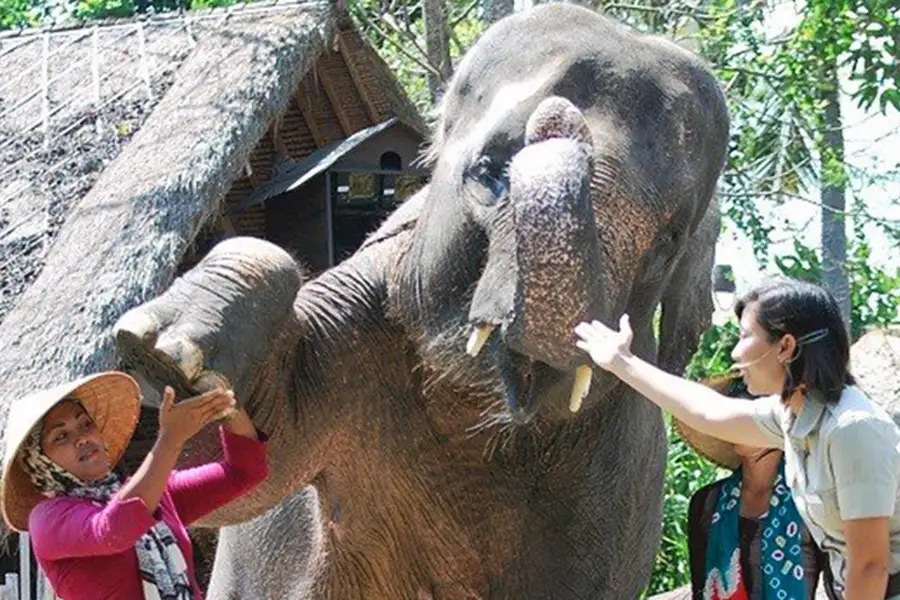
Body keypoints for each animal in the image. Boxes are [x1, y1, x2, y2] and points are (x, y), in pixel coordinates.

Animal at [113, 3, 729, 598]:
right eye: (490, 171)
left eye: (669, 240)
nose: (557, 116)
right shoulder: (364, 318)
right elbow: (258, 461)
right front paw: (165, 358)